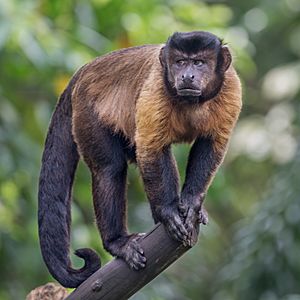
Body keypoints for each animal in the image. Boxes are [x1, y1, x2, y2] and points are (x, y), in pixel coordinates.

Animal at [38, 31, 241, 288]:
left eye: (199, 63)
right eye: (179, 62)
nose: (187, 75)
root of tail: (82, 72)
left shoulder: (231, 88)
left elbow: (212, 144)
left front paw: (192, 203)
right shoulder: (155, 87)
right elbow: (151, 149)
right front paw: (168, 211)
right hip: (86, 111)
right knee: (110, 169)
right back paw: (118, 242)